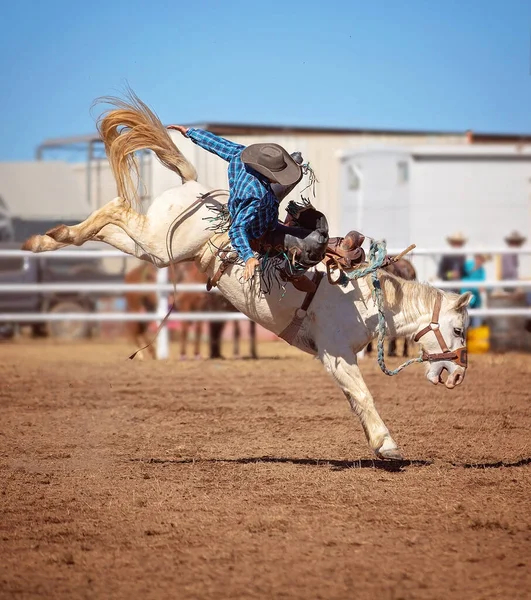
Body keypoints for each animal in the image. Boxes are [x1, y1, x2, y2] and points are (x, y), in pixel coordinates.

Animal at [20, 92, 472, 460]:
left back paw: (50, 238)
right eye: (460, 330)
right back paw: (47, 239)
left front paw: (382, 443)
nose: (457, 377)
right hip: (161, 246)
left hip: (151, 248)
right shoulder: (335, 352)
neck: (366, 300)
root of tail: (194, 188)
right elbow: (361, 394)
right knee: (115, 208)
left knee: (110, 223)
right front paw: (388, 445)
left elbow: (356, 397)